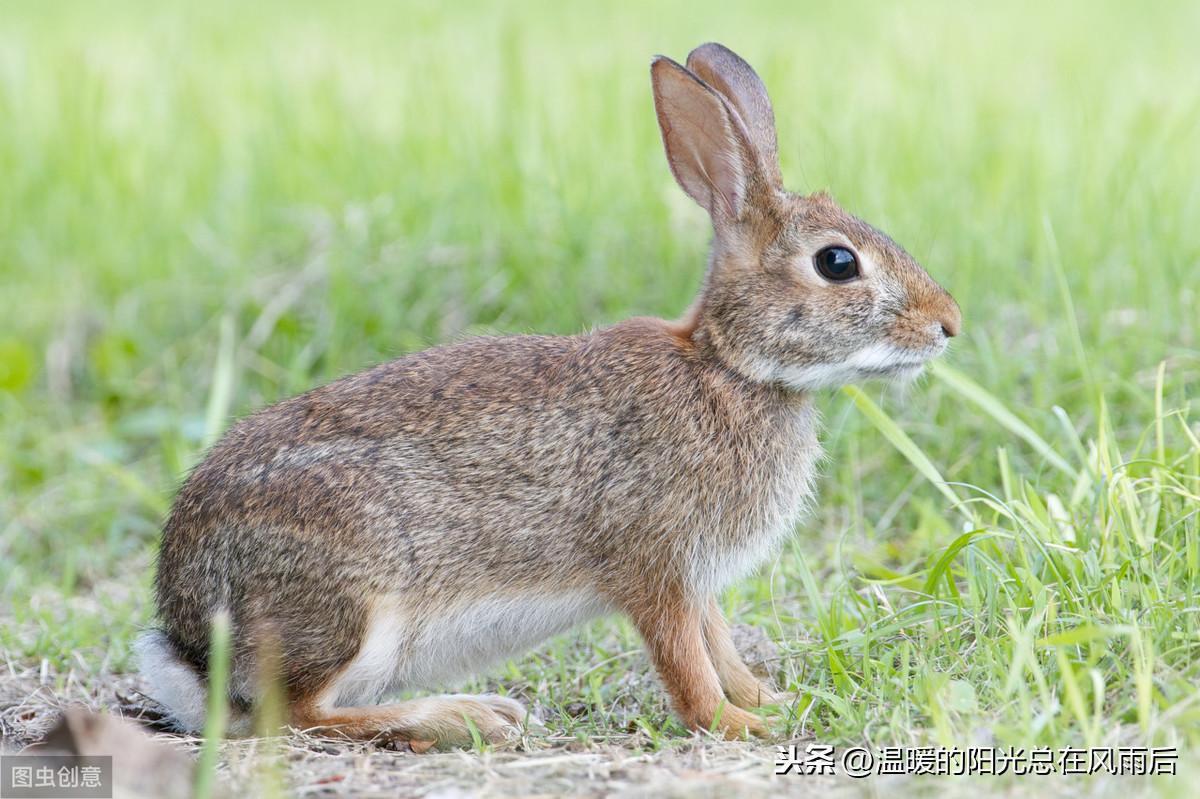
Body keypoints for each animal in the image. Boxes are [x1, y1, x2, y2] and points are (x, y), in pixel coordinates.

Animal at [138, 43, 964, 748]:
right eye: (837, 263)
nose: (947, 324)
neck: (728, 367)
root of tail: (187, 644)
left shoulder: (697, 579)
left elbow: (718, 643)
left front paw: (771, 699)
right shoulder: (655, 563)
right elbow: (685, 662)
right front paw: (740, 725)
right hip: (350, 599)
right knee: (297, 713)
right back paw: (465, 717)